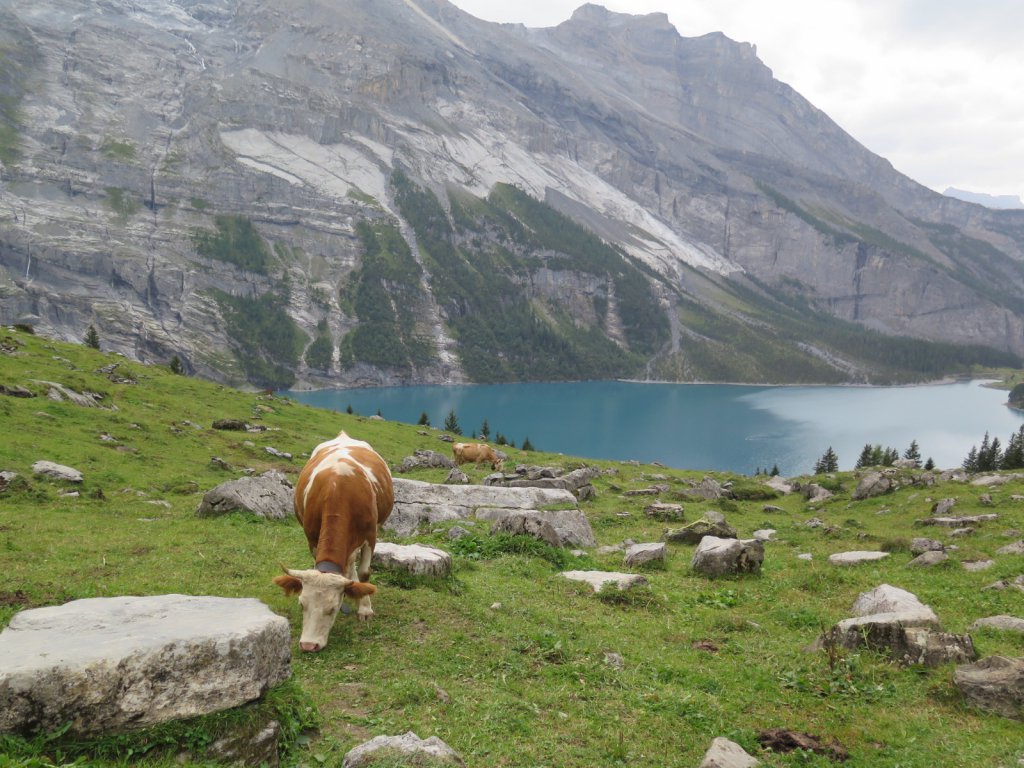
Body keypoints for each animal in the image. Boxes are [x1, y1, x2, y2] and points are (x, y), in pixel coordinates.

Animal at [272, 430, 391, 651]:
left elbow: (364, 572)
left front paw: (364, 608)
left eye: (333, 608)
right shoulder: (311, 537)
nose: (308, 645)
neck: (338, 491)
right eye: (301, 604)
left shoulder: (370, 535)